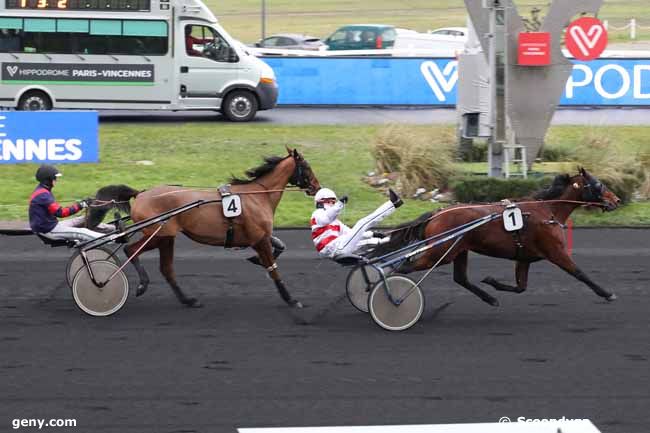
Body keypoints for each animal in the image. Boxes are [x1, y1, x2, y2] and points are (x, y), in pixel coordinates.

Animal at [86, 148, 318, 308]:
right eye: (307, 167)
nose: (316, 186)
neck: (257, 195)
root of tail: (141, 194)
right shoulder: (259, 239)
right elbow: (274, 270)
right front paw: (291, 299)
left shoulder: (259, 236)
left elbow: (281, 245)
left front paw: (256, 260)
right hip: (158, 234)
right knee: (131, 250)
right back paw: (142, 284)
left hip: (166, 237)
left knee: (166, 269)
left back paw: (188, 300)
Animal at [370, 167, 616, 306]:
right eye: (599, 184)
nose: (616, 200)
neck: (548, 211)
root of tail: (437, 214)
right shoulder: (554, 251)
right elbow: (579, 273)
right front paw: (606, 293)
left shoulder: (524, 257)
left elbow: (521, 287)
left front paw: (492, 282)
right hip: (440, 253)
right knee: (403, 267)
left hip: (458, 250)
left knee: (460, 278)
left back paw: (490, 298)